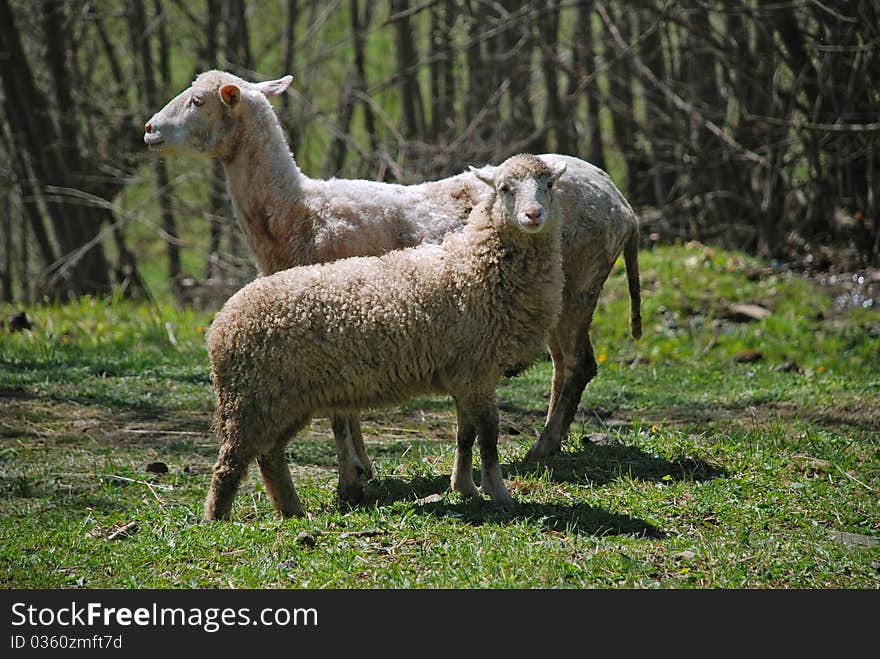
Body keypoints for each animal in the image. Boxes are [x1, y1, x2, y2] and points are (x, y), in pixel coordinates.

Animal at [203, 155, 568, 520]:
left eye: (549, 185)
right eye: (505, 188)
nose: (533, 215)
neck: (473, 266)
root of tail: (221, 323)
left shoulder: (466, 374)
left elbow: (465, 435)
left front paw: (466, 488)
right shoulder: (477, 372)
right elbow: (489, 437)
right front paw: (500, 495)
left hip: (285, 399)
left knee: (270, 455)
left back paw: (292, 510)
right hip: (250, 399)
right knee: (231, 462)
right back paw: (217, 517)